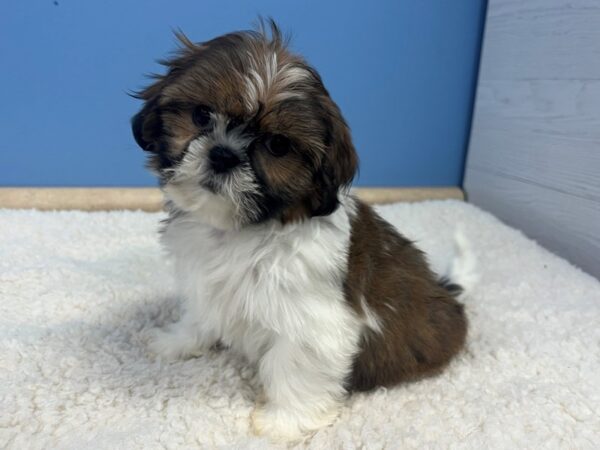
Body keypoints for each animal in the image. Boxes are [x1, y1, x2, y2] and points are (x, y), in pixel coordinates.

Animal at [131, 20, 468, 440]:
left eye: (277, 145)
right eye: (202, 115)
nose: (223, 154)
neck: (242, 231)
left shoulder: (314, 323)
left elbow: (294, 367)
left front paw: (283, 422)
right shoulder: (203, 279)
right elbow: (200, 313)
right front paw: (176, 341)